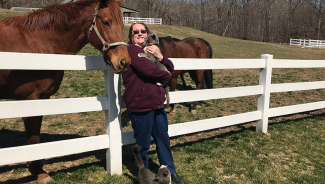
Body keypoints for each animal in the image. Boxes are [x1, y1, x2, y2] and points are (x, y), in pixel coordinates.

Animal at [0, 0, 129, 183]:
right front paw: (39, 172)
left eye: (123, 24)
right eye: (105, 22)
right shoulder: (30, 99)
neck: (37, 42)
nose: (124, 61)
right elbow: (33, 138)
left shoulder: (43, 97)